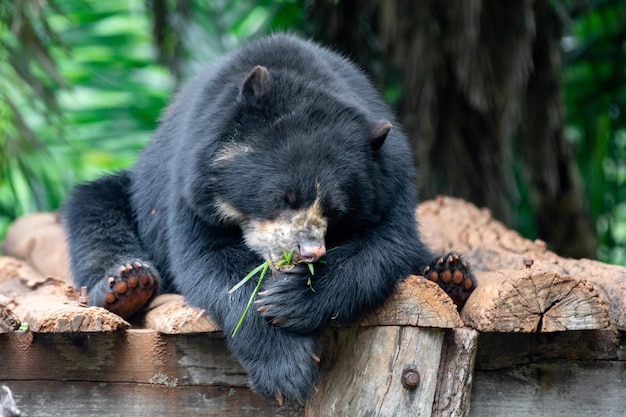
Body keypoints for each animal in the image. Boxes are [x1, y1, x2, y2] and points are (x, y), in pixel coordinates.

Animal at [63, 32, 472, 404]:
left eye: (335, 211)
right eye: (283, 198)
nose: (308, 252)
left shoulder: (390, 177)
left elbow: (384, 245)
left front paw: (290, 299)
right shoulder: (189, 182)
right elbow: (212, 261)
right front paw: (286, 371)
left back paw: (449, 275)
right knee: (95, 210)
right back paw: (128, 284)